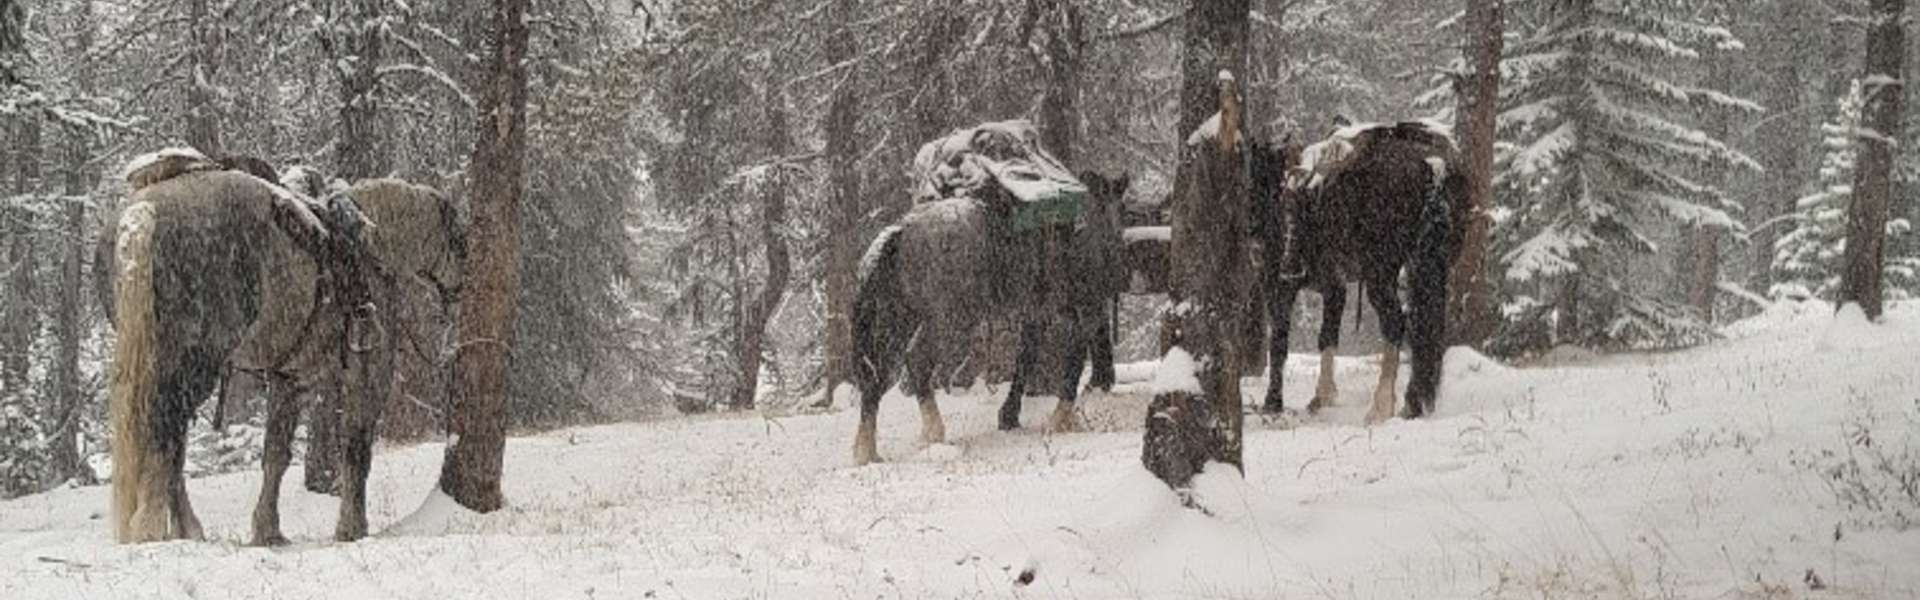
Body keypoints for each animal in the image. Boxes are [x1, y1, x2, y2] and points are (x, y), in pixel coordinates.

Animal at [105, 153, 460, 542]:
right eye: (459, 239)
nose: (459, 292)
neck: (372, 248)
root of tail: (144, 210)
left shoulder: (288, 377)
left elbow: (275, 455)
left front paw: (267, 530)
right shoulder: (368, 374)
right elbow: (356, 448)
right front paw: (353, 528)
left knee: (171, 442)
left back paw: (183, 529)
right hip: (191, 364)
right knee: (165, 436)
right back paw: (154, 527)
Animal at [1244, 120, 1466, 421]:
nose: (1252, 237)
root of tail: (1433, 164)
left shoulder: (1279, 285)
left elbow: (1279, 342)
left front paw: (1273, 402)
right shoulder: (1334, 287)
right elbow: (1327, 336)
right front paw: (1323, 396)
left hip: (1380, 273)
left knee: (1396, 323)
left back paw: (1381, 406)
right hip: (1428, 267)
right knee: (1423, 327)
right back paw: (1411, 405)